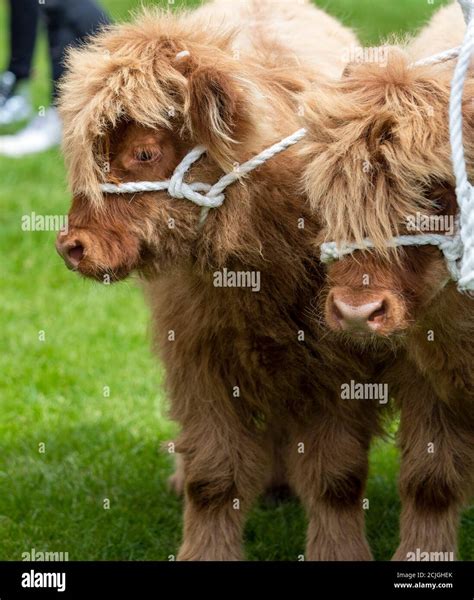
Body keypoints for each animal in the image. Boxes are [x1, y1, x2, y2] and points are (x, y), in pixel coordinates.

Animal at [55, 2, 386, 560]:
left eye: (145, 153)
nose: (72, 246)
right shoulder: (197, 355)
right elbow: (212, 477)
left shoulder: (343, 363)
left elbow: (335, 478)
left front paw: (338, 551)